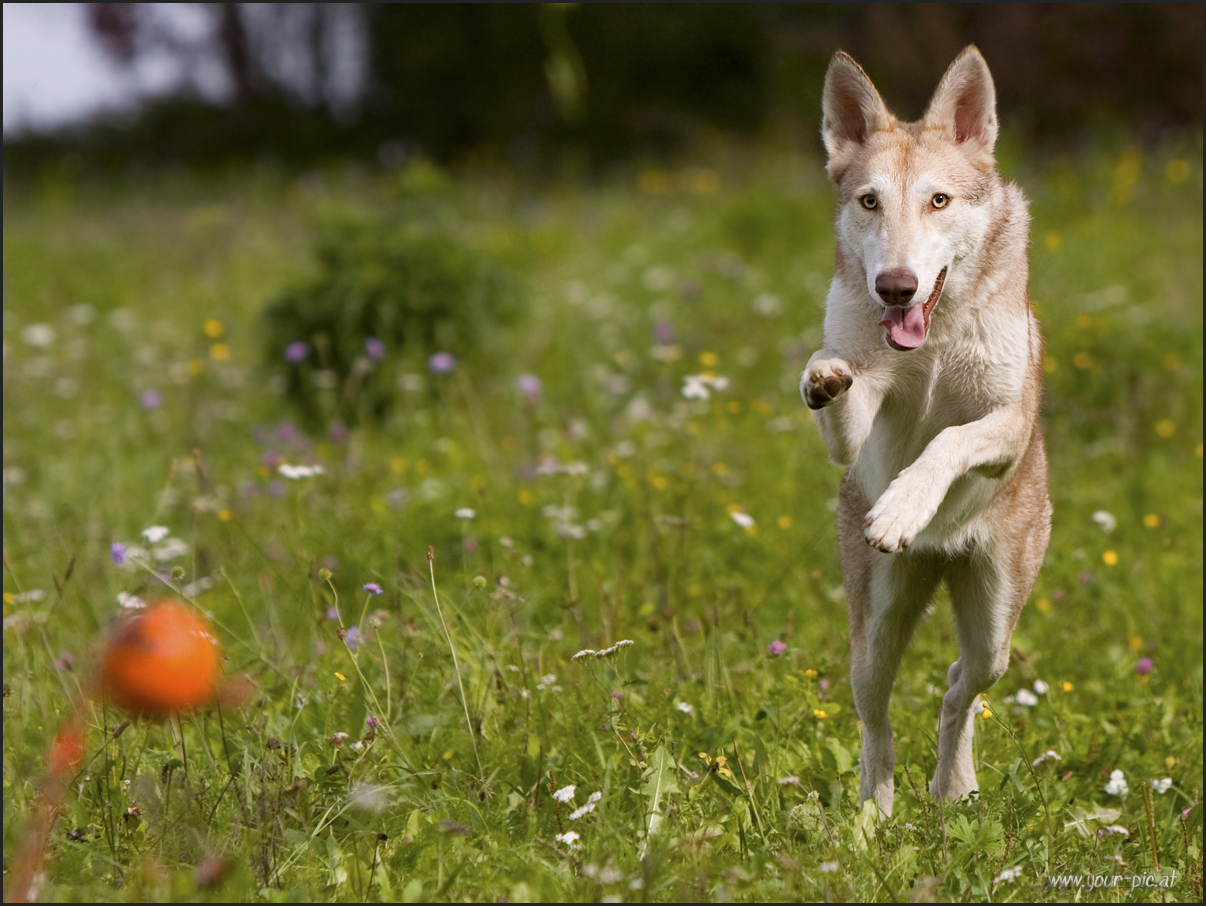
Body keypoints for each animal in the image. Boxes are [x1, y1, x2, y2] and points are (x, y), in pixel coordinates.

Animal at [805, 46, 1051, 820]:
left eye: (938, 201)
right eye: (869, 202)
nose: (895, 286)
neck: (934, 335)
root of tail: (942, 555)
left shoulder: (1007, 423)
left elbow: (948, 441)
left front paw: (904, 509)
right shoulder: (856, 426)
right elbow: (839, 390)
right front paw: (823, 377)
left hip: (995, 630)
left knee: (956, 686)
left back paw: (953, 790)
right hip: (874, 638)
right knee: (876, 723)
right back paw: (874, 818)